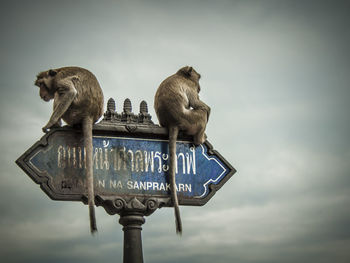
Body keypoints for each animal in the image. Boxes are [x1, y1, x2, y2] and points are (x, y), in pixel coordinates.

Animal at [34, 67, 104, 234]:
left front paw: (50, 123)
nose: (41, 94)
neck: (55, 75)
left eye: (42, 84)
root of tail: (89, 114)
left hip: (74, 112)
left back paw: (56, 124)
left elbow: (69, 92)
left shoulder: (60, 81)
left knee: (63, 92)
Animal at [154, 66, 211, 235]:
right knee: (200, 112)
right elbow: (199, 104)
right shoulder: (190, 88)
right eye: (198, 79)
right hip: (191, 120)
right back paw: (200, 139)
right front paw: (207, 108)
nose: (200, 88)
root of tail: (173, 122)